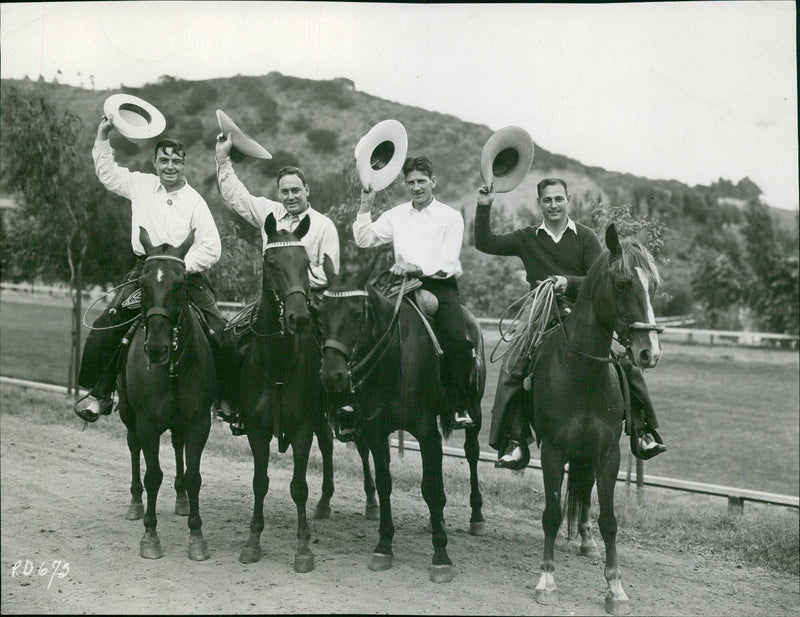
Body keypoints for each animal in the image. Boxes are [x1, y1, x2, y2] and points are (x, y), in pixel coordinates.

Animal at [115, 225, 216, 560]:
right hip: (128, 415)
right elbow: (152, 475)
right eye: (143, 283)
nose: (156, 348)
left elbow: (195, 475)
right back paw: (135, 503)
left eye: (180, 282)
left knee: (178, 445)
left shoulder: (198, 421)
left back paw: (182, 499)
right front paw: (150, 535)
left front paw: (196, 536)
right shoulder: (147, 422)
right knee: (134, 448)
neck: (172, 367)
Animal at [318, 266, 488, 584]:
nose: (331, 376)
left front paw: (441, 556)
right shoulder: (376, 431)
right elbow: (385, 483)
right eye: (321, 313)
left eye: (357, 313)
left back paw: (477, 517)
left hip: (474, 412)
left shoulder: (425, 431)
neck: (394, 357)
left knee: (472, 454)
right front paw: (384, 546)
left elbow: (430, 487)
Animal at [532, 224, 664, 612]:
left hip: (588, 453)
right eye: (622, 283)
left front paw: (616, 588)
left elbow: (609, 520)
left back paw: (586, 541)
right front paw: (547, 580)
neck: (581, 372)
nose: (649, 352)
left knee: (586, 490)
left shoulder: (608, 453)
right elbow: (551, 513)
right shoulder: (552, 451)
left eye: (653, 286)